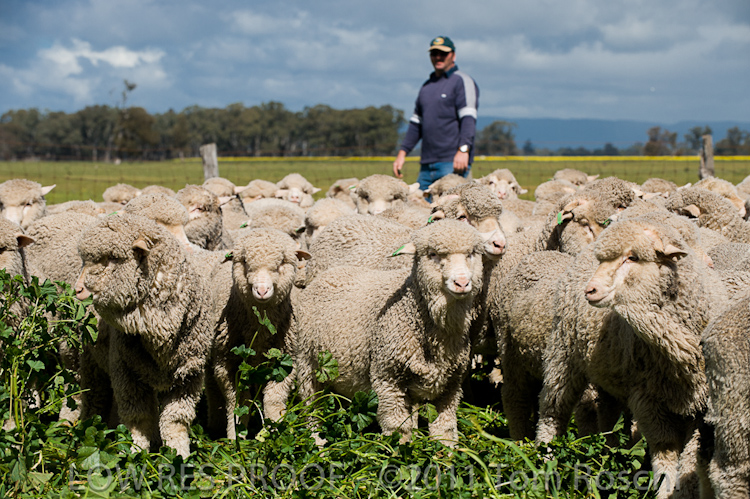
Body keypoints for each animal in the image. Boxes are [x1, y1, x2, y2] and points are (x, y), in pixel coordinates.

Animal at [74, 214, 213, 459]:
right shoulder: (126, 373)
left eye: (112, 258)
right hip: (93, 363)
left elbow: (175, 421)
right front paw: (136, 454)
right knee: (93, 399)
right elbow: (139, 419)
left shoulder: (188, 376)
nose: (77, 289)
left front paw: (179, 455)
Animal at [206, 228, 310, 438]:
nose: (262, 290)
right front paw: (235, 437)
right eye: (245, 261)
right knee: (213, 391)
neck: (260, 327)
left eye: (282, 261)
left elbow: (273, 401)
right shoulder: (226, 364)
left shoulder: (285, 362)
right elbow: (238, 402)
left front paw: (274, 432)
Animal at [293, 219, 485, 446]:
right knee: (312, 407)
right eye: (432, 254)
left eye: (472, 253)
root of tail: (328, 275)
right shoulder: (388, 378)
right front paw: (400, 452)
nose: (462, 283)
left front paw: (447, 452)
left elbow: (444, 430)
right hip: (307, 363)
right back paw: (317, 443)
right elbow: (398, 430)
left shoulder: (451, 386)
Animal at [536, 218, 718, 498]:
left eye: (632, 257)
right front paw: (665, 490)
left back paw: (607, 457)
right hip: (562, 355)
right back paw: (544, 465)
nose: (590, 290)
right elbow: (665, 452)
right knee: (552, 411)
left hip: (608, 371)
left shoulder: (702, 408)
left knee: (607, 415)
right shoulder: (648, 400)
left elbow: (690, 461)